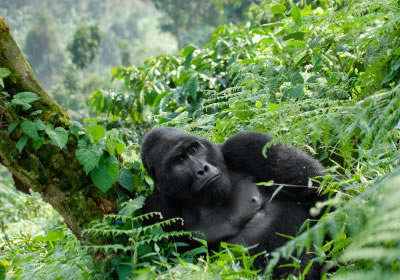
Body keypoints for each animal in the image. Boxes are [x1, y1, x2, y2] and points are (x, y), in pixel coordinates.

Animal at [142, 128, 326, 278]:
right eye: (179, 159)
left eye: (194, 149)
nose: (203, 169)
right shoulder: (157, 207)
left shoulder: (247, 144)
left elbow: (319, 189)